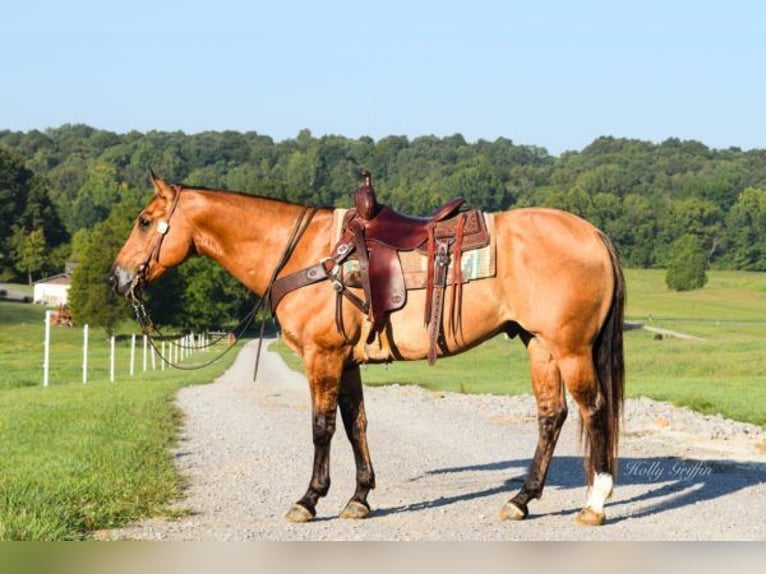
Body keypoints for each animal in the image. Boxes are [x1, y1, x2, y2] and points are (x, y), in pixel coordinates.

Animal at [109, 173, 624, 528]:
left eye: (144, 221)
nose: (116, 277)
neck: (307, 254)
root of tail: (595, 235)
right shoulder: (346, 360)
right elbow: (355, 424)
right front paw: (358, 498)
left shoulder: (322, 356)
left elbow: (322, 428)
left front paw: (309, 500)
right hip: (541, 346)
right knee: (552, 415)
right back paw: (520, 501)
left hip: (571, 348)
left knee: (595, 410)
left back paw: (595, 503)